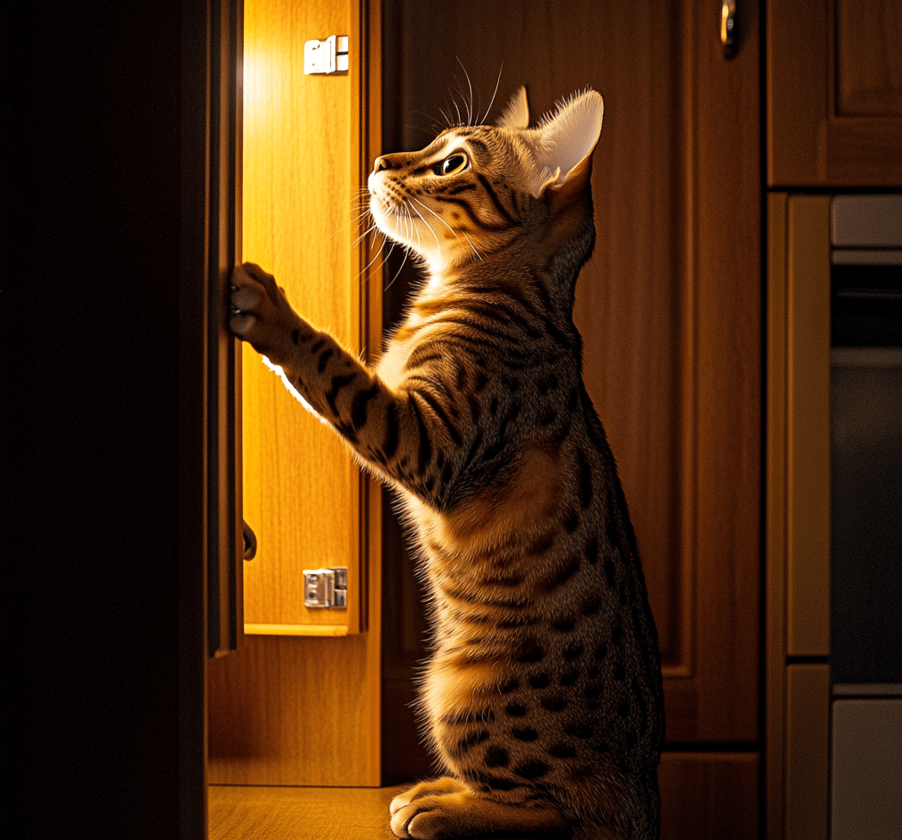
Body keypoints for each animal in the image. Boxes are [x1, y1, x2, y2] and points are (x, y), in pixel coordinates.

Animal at [231, 87, 672, 840]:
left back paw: (441, 805)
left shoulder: (429, 438)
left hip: (458, 691)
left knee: (556, 812)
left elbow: (333, 370)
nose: (382, 159)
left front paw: (273, 314)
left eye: (452, 163)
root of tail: (643, 796)